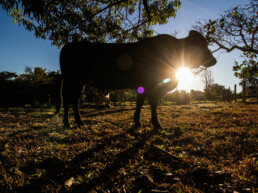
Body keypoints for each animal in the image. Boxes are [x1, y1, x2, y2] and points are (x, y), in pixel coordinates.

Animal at [56, 30, 216, 129]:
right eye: (201, 45)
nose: (213, 60)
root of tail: (69, 45)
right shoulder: (151, 84)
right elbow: (151, 103)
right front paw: (155, 124)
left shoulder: (145, 85)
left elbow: (141, 102)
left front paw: (138, 121)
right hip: (71, 80)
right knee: (68, 100)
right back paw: (67, 123)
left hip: (79, 83)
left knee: (74, 100)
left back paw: (79, 122)